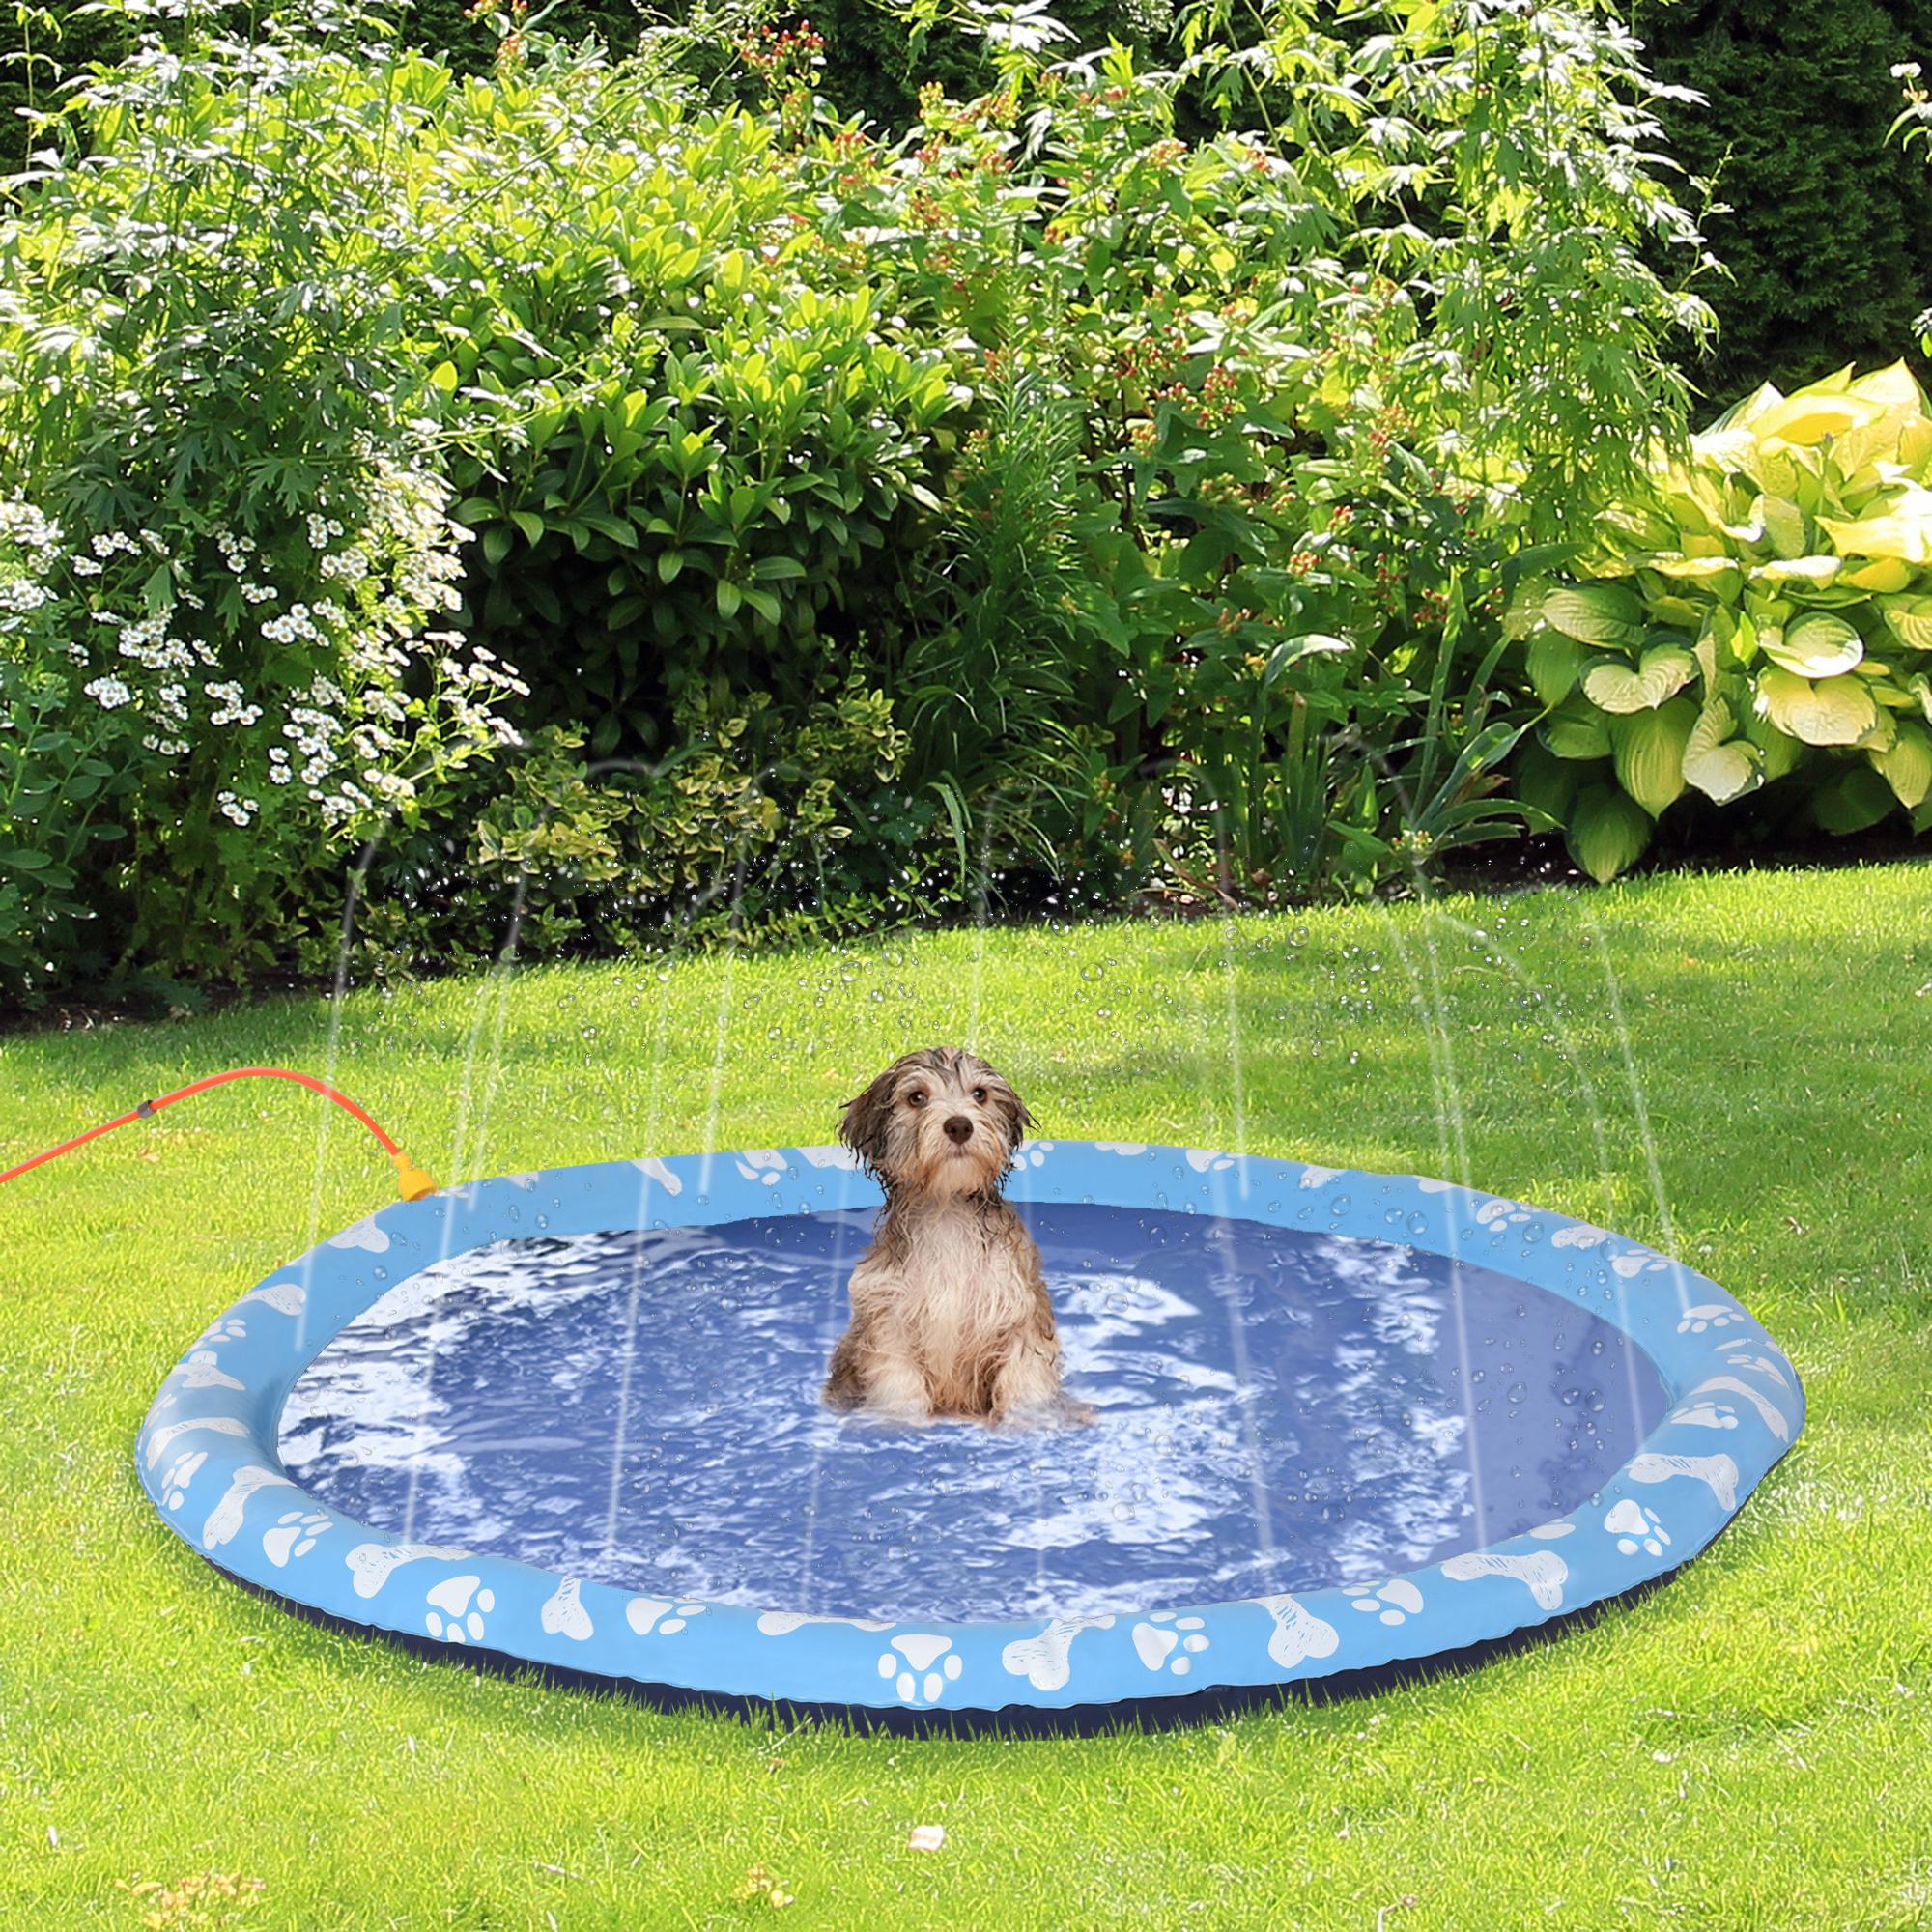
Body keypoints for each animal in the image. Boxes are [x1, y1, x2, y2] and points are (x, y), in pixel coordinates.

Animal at [819, 1051, 1090, 1430]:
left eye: (979, 1094)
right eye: (916, 1098)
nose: (959, 1125)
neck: (947, 1212)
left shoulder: (1019, 1314)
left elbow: (1024, 1382)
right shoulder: (888, 1321)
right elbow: (899, 1385)